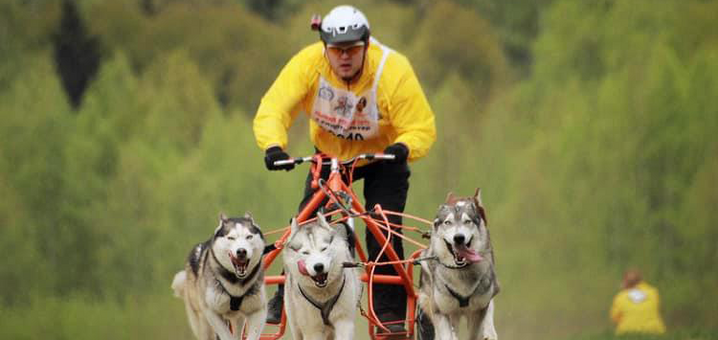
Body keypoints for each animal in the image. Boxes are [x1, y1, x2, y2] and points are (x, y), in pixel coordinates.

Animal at [420, 189, 504, 340]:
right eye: (448, 222)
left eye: (467, 221)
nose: (458, 237)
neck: (461, 273)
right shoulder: (440, 310)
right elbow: (447, 335)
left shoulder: (480, 308)